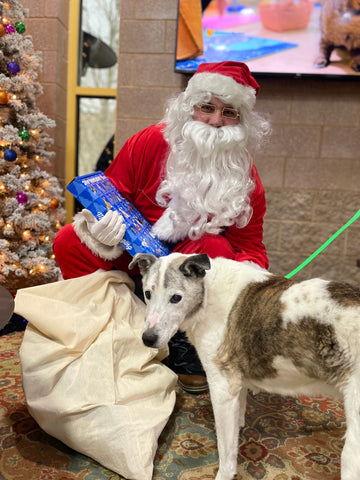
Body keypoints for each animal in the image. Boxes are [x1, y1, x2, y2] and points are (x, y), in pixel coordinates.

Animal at [131, 253, 360, 478]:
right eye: (147, 294)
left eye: (176, 298)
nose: (147, 339)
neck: (207, 293)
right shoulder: (236, 381)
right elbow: (237, 422)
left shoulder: (222, 388)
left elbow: (225, 452)